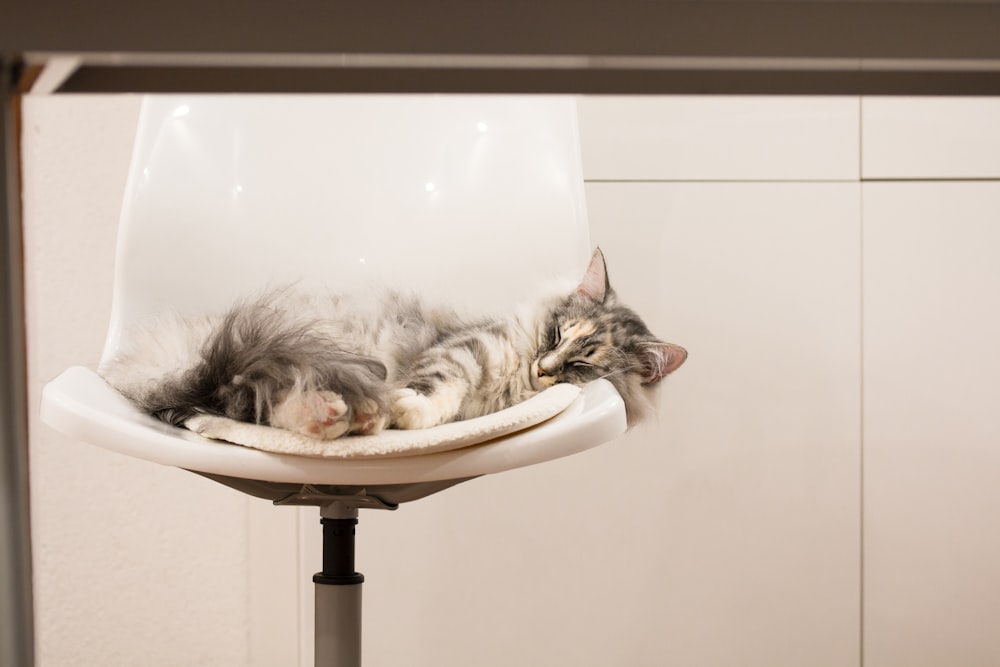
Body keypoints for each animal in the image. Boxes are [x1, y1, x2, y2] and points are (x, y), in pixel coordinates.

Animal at [99, 248, 688, 440]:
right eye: (557, 333)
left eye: (582, 364)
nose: (545, 369)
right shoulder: (464, 349)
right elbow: (438, 385)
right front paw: (409, 407)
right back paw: (346, 414)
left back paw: (342, 417)